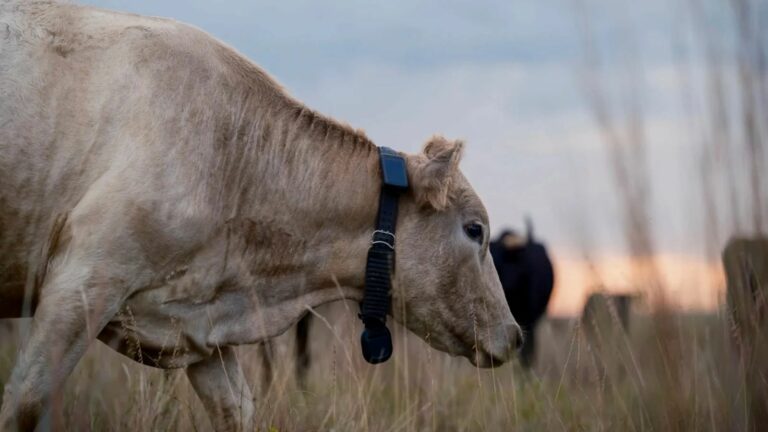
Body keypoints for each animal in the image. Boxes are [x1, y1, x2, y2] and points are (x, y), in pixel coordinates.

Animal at [0, 2, 521, 430]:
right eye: (475, 229)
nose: (514, 335)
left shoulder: (196, 324)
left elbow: (238, 409)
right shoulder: (86, 279)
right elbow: (24, 403)